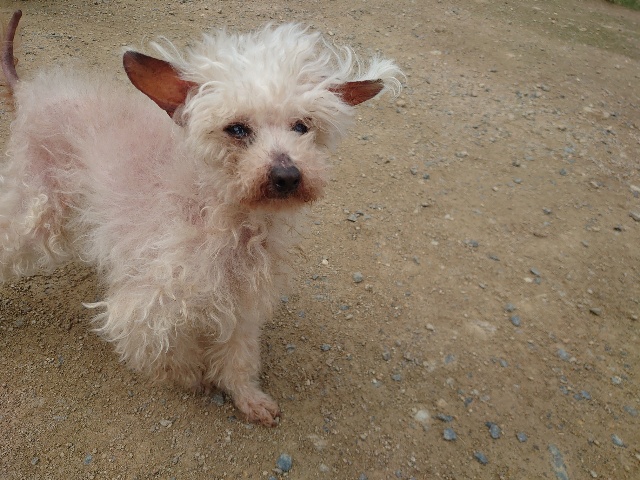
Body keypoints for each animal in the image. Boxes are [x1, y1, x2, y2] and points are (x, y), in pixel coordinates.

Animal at [0, 10, 401, 426]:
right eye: (237, 129)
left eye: (302, 126)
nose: (287, 176)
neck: (225, 218)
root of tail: (30, 91)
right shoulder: (147, 305)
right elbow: (170, 353)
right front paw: (192, 378)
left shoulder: (242, 302)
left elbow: (239, 356)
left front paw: (247, 397)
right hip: (34, 208)